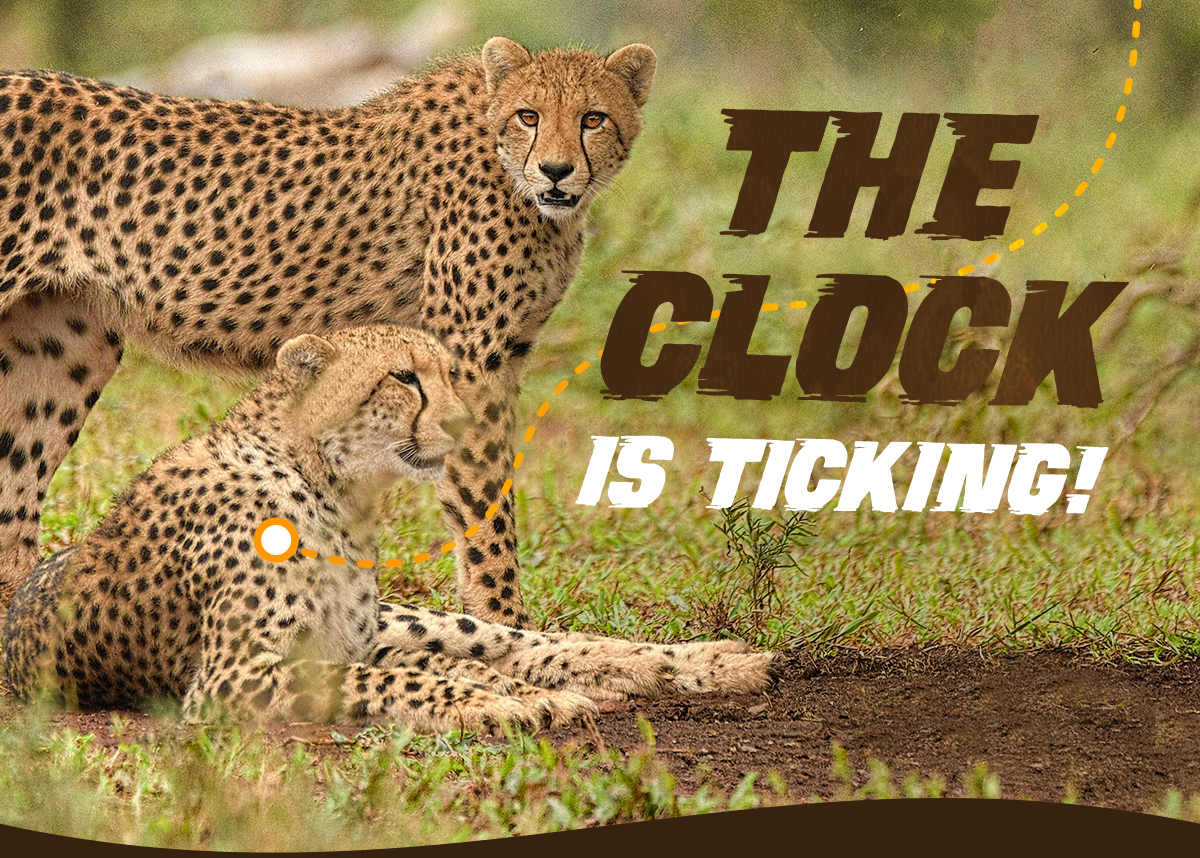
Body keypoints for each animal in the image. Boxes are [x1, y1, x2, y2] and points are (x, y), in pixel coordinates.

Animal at [0, 36, 657, 630]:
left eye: (592, 118)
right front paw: (507, 622)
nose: (556, 170)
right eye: (530, 115)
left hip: (62, 350)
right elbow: (485, 505)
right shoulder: (472, 363)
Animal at [3, 324, 774, 732]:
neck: (333, 487)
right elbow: (397, 681)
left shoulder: (340, 641)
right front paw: (496, 705)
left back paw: (713, 662)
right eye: (403, 377)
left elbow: (415, 672)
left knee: (519, 640)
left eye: (448, 375)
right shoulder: (233, 677)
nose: (463, 423)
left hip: (406, 618)